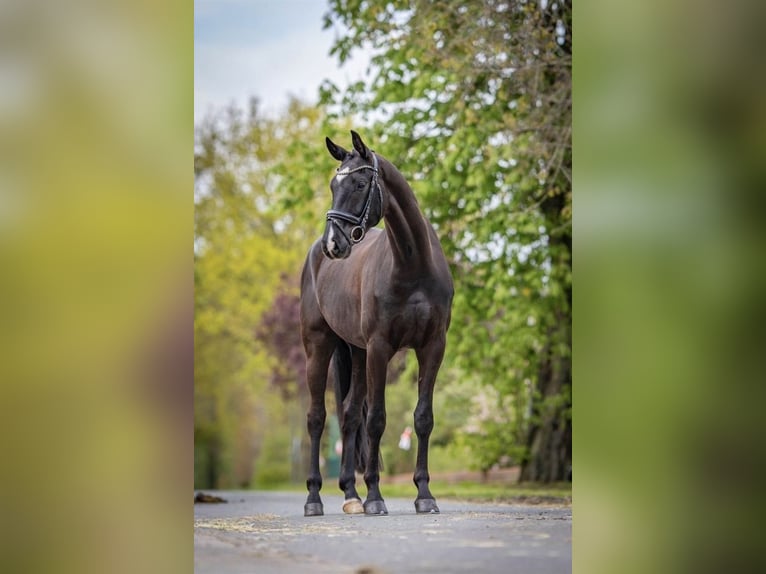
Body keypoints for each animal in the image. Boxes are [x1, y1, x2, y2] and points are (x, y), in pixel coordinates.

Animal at [300, 130, 456, 516]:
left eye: (359, 183)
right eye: (332, 185)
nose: (332, 244)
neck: (413, 264)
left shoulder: (433, 347)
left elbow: (423, 417)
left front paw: (424, 495)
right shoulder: (380, 348)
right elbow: (378, 420)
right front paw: (375, 496)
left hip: (356, 353)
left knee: (349, 415)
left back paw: (350, 495)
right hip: (319, 347)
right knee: (317, 418)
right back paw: (314, 498)